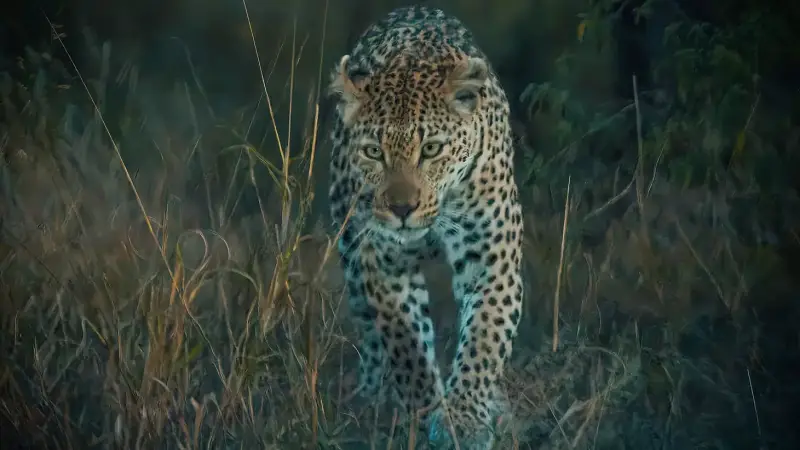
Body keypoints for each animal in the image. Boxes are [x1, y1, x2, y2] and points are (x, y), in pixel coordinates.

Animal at [327, 5, 524, 449]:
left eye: (431, 149)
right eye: (373, 152)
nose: (402, 207)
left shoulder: (492, 256)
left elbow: (484, 338)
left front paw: (466, 420)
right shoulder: (382, 262)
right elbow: (408, 349)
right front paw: (426, 413)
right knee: (370, 336)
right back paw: (371, 396)